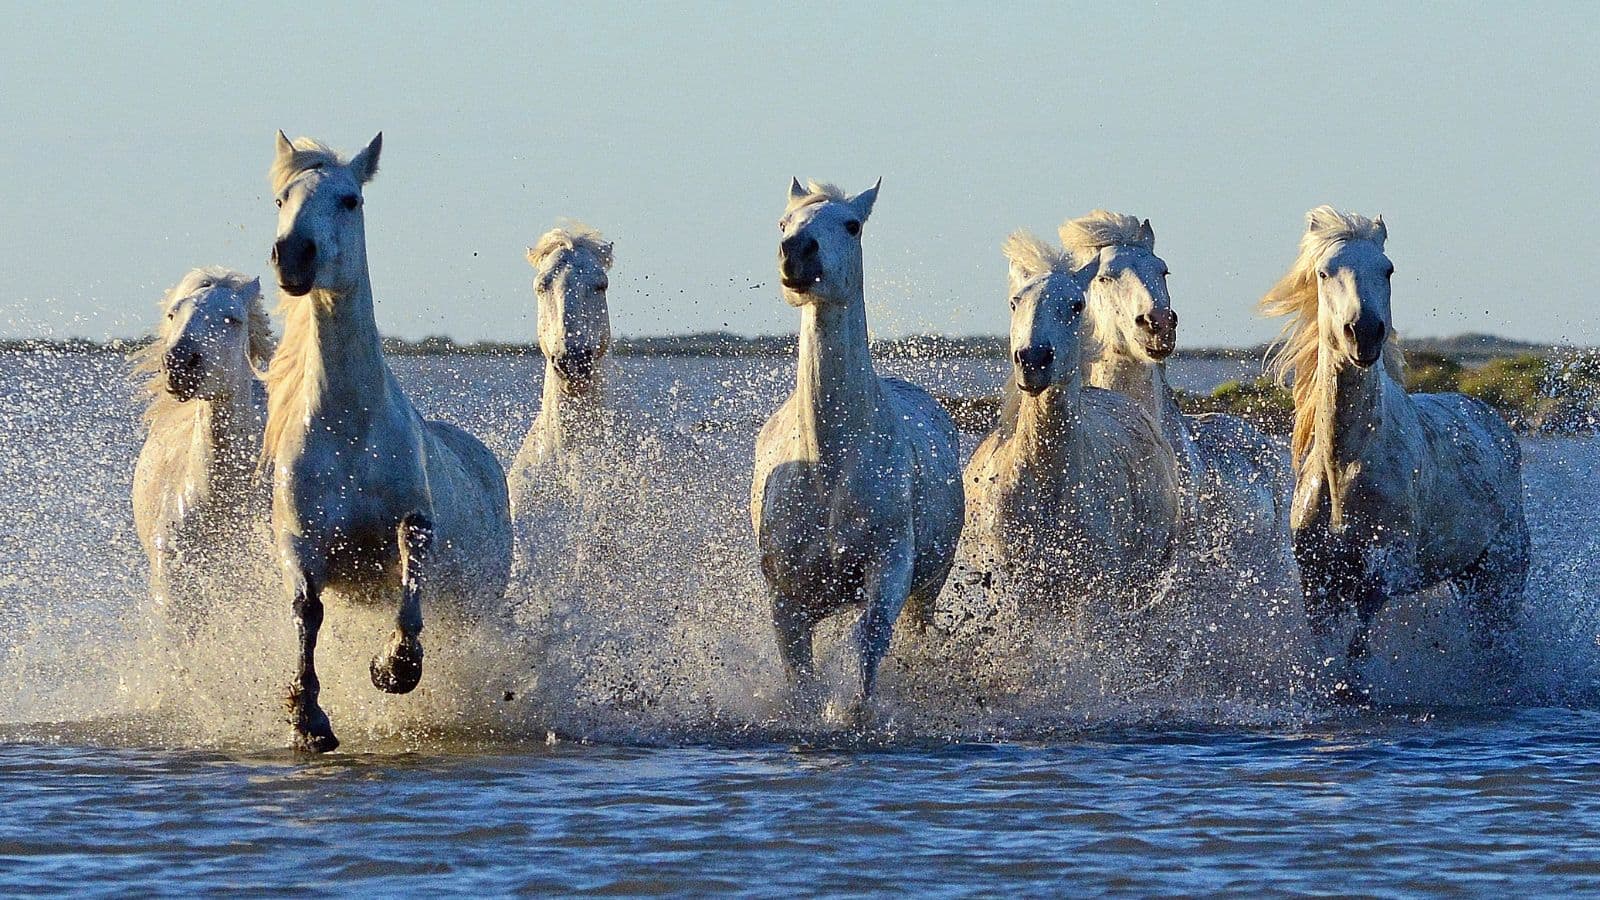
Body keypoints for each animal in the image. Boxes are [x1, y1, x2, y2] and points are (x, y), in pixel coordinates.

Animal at [266, 132, 513, 751]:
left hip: (480, 600)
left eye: (350, 199)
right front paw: (308, 720)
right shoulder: (299, 540)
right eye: (282, 198)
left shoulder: (415, 520)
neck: (348, 430)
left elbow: (410, 577)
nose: (294, 256)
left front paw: (394, 669)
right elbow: (307, 612)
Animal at [751, 178, 965, 722]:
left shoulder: (889, 569)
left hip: (928, 585)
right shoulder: (786, 595)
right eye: (783, 222)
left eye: (852, 225)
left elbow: (867, 644)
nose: (796, 252)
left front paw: (853, 714)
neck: (830, 465)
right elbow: (800, 673)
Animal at [964, 231, 1181, 613]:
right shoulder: (1016, 591)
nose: (1033, 360)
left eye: (1077, 305)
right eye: (1014, 303)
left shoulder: (1094, 591)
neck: (1048, 485)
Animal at [1261, 205, 1528, 695]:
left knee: (1496, 638)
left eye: (1387, 269)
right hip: (1467, 576)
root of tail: (1493, 420)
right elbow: (1326, 648)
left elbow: (1360, 638)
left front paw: (1355, 689)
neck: (1344, 469)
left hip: (1500, 573)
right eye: (1324, 272)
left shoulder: (1385, 567)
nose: (1364, 333)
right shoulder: (1317, 581)